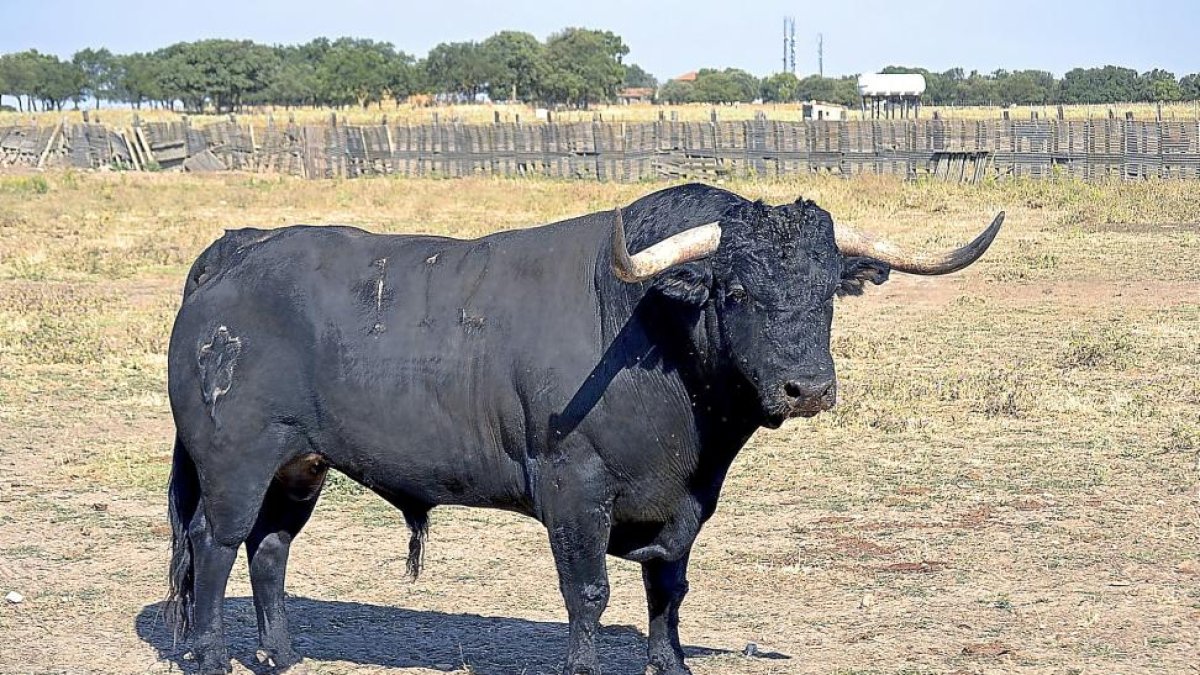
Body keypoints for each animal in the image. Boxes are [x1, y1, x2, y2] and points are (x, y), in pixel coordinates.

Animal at [164, 181, 998, 667]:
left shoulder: (686, 501)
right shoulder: (574, 488)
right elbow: (588, 591)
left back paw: (279, 655)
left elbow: (669, 587)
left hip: (299, 465)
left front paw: (671, 662)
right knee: (215, 543)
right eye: (734, 290)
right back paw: (207, 653)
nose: (808, 387)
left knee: (270, 548)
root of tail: (239, 248)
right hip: (234, 461)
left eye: (828, 290)